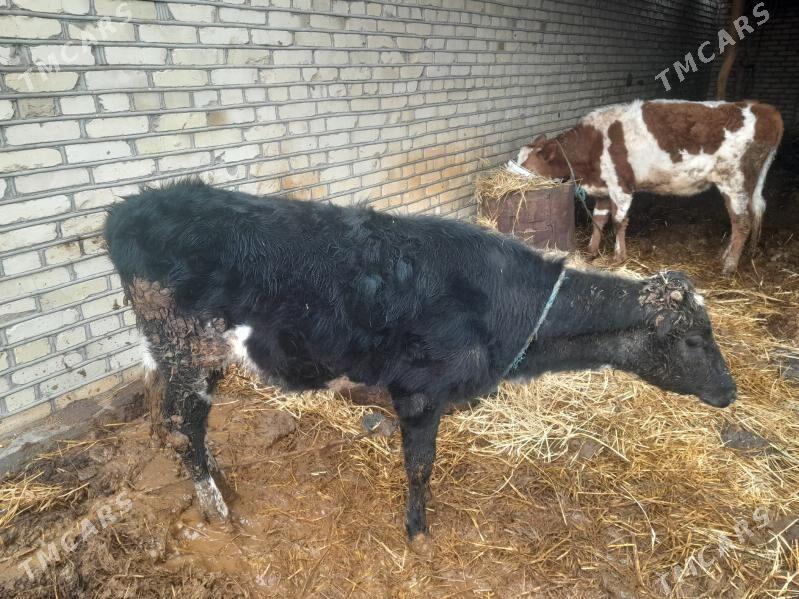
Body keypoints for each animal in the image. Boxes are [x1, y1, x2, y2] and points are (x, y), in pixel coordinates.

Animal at [104, 180, 736, 548]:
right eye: (694, 340)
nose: (731, 392)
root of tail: (131, 206)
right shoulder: (419, 392)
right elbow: (420, 467)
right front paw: (417, 532)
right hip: (187, 346)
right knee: (183, 428)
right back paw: (218, 512)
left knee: (177, 425)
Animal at [517, 100, 783, 275]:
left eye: (528, 165)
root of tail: (765, 109)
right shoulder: (603, 187)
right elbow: (599, 219)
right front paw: (591, 251)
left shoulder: (621, 185)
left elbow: (619, 221)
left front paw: (618, 257)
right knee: (752, 213)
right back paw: (734, 254)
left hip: (734, 180)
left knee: (742, 221)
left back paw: (729, 266)